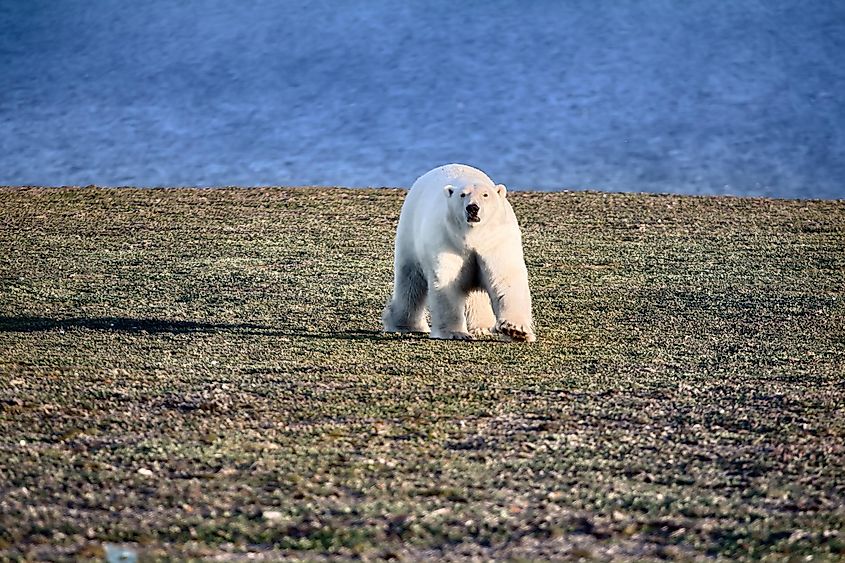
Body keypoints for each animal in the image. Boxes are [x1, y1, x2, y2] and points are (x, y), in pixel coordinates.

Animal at [382, 164, 536, 344]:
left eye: (485, 195)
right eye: (462, 195)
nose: (472, 208)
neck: (472, 235)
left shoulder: (494, 241)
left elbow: (504, 277)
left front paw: (516, 330)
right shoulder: (447, 240)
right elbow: (447, 281)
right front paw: (456, 332)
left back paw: (482, 327)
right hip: (410, 234)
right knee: (410, 282)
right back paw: (405, 325)